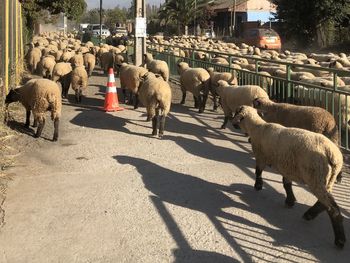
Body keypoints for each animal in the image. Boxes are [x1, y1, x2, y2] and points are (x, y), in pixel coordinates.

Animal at [232, 105, 344, 250]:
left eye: (237, 112)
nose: (233, 124)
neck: (258, 127)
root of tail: (332, 153)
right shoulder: (286, 165)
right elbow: (286, 183)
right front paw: (290, 200)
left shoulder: (260, 157)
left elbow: (258, 172)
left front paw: (258, 186)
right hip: (328, 179)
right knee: (325, 202)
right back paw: (310, 214)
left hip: (315, 177)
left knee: (332, 207)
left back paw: (340, 240)